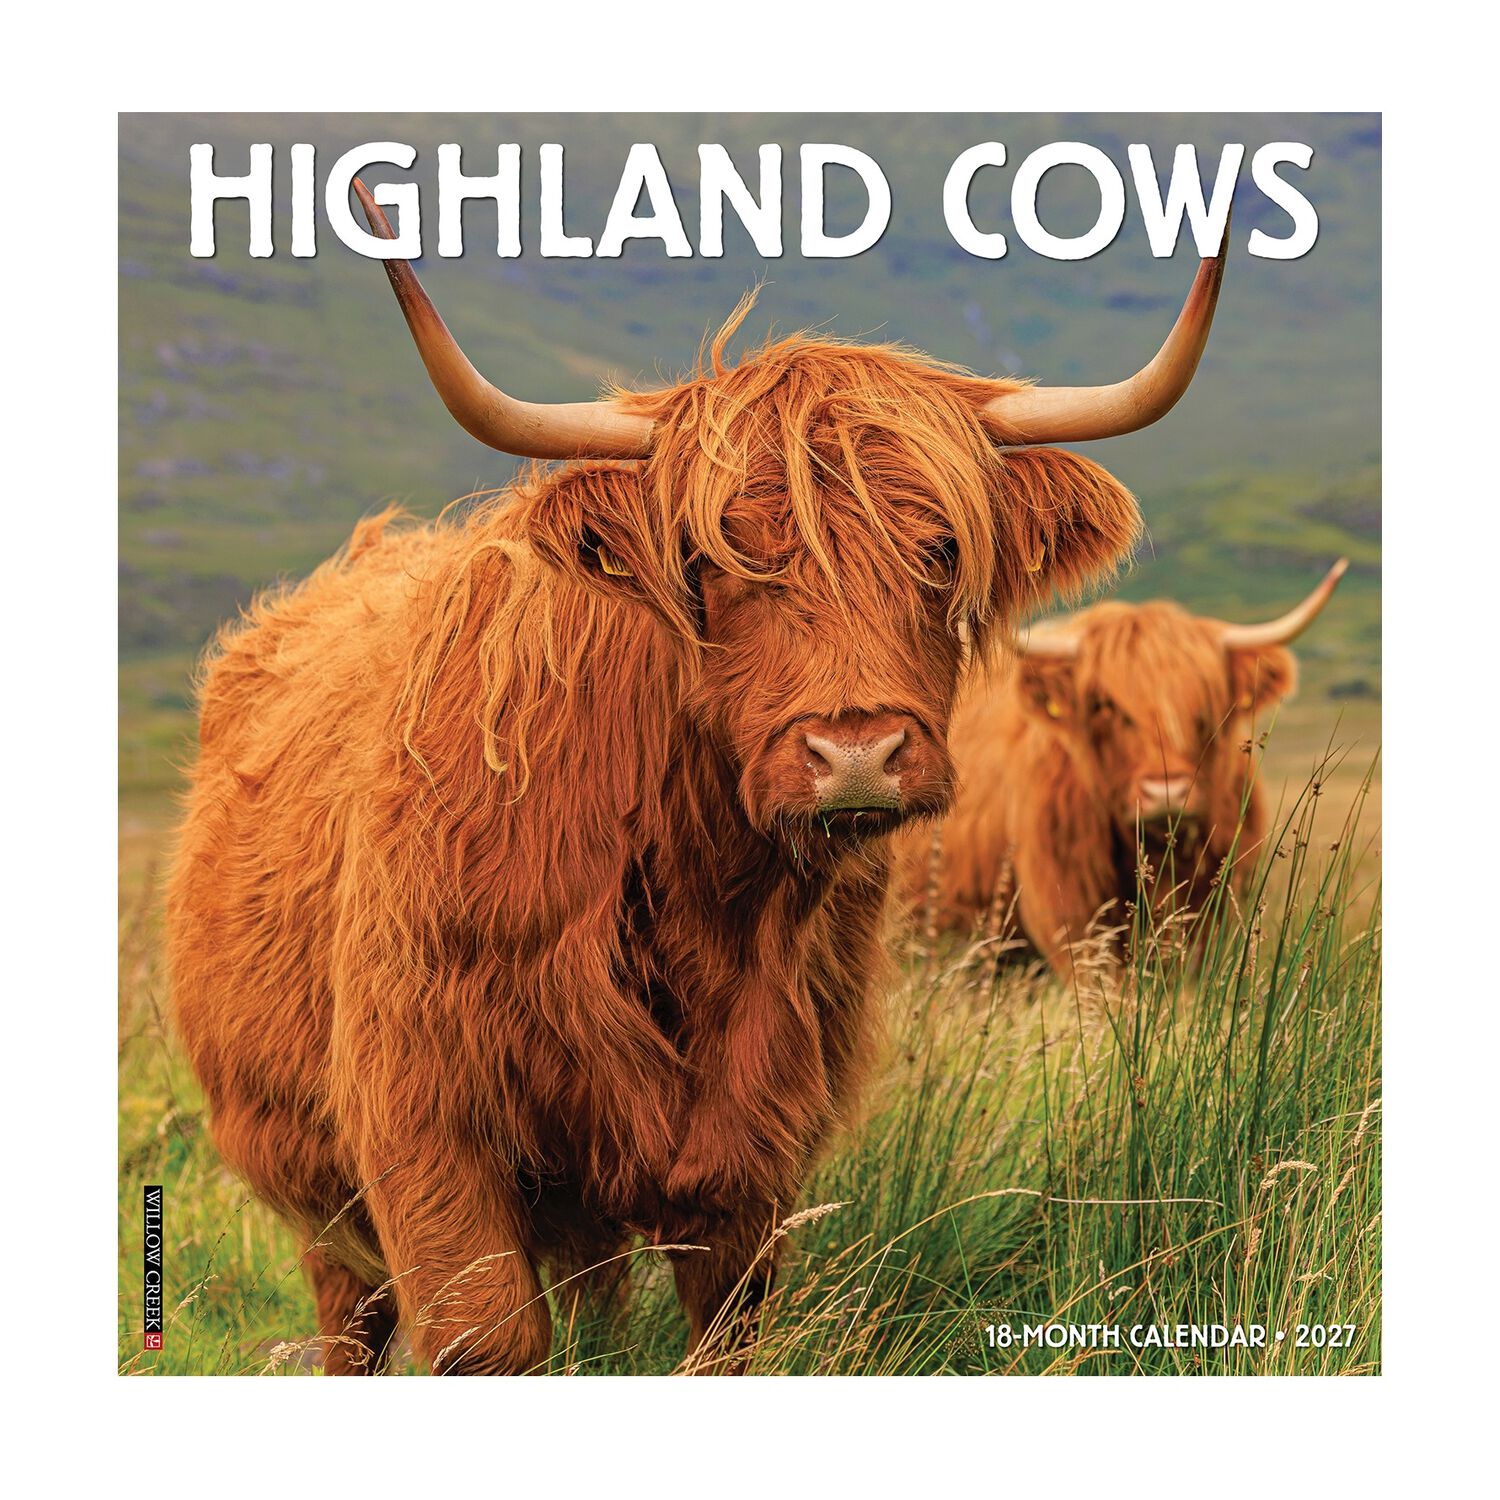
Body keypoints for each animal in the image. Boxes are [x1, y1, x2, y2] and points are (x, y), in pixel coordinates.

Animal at [164, 180, 1226, 1374]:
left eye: (941, 549)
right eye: (716, 562)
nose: (855, 753)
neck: (695, 888)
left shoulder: (757, 1140)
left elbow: (723, 1331)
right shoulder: (421, 1114)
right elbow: (488, 1336)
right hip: (315, 1189)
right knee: (352, 1319)